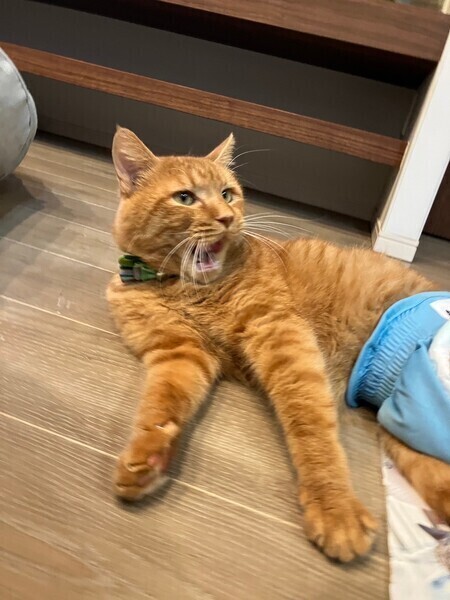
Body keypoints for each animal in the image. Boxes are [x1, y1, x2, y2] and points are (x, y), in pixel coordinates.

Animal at [107, 127, 450, 562]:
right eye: (185, 197)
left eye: (227, 194)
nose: (227, 218)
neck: (182, 287)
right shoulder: (179, 353)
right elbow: (158, 407)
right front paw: (148, 458)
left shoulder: (280, 334)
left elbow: (310, 425)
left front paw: (334, 507)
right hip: (400, 425)